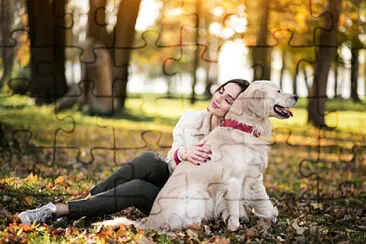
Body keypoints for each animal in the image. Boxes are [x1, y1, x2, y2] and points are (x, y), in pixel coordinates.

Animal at [146, 80, 298, 231]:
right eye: (278, 91)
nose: (297, 96)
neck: (242, 126)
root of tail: (150, 224)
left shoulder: (251, 174)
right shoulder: (234, 180)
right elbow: (234, 208)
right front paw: (235, 227)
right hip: (198, 196)